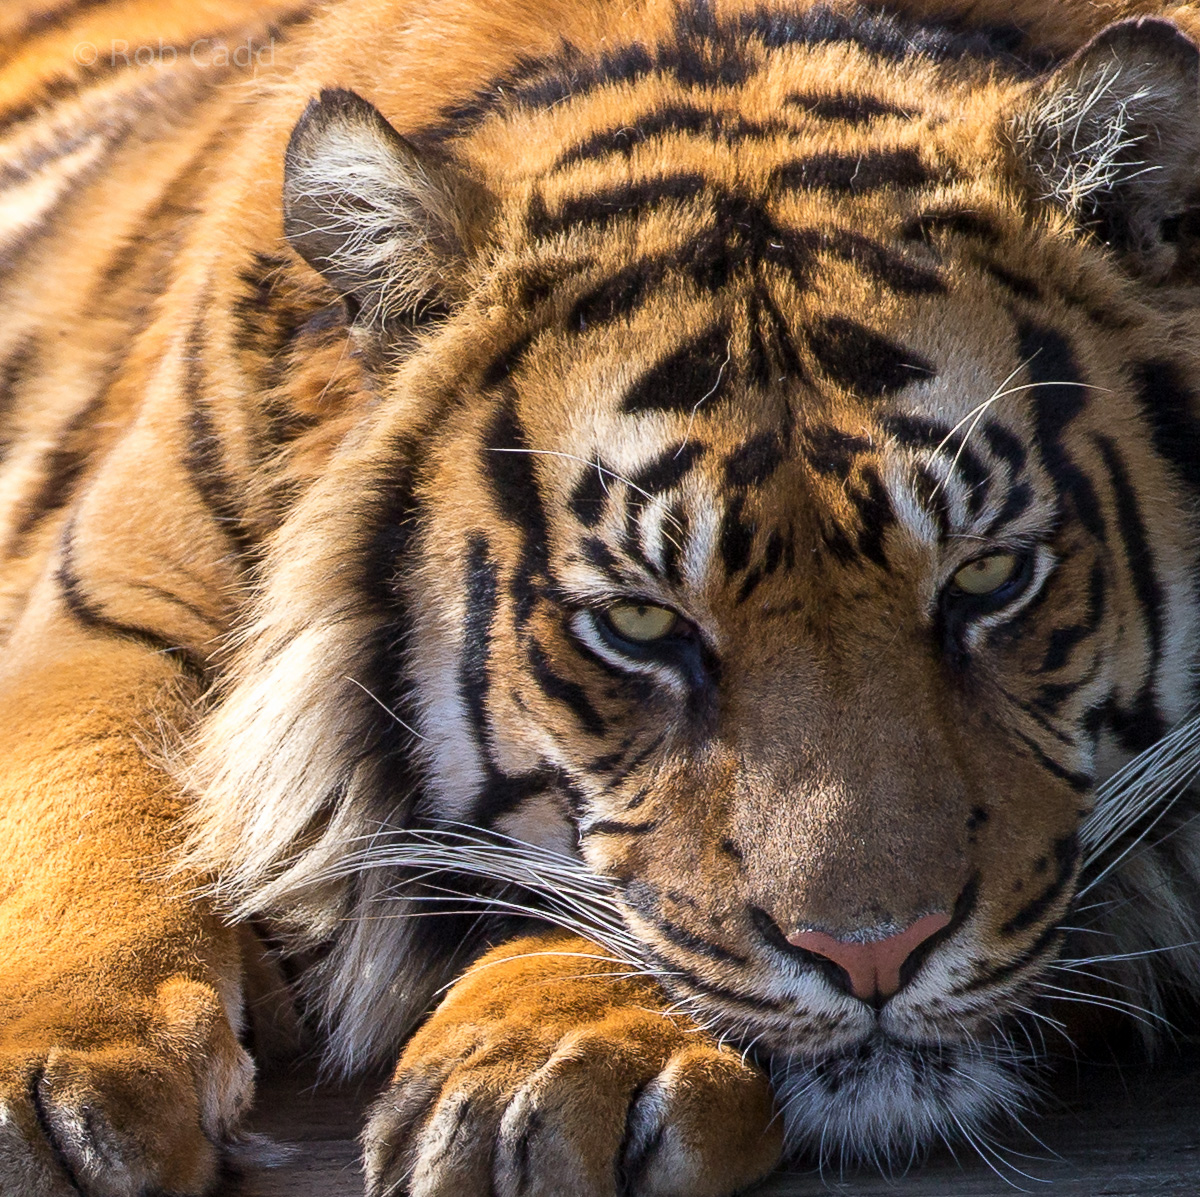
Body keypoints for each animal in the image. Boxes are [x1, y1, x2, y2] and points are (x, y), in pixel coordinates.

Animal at [2, 0, 1200, 1193]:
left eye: (989, 575)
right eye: (640, 623)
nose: (875, 957)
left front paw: (552, 1058)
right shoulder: (117, 605)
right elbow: (80, 814)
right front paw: (51, 1087)